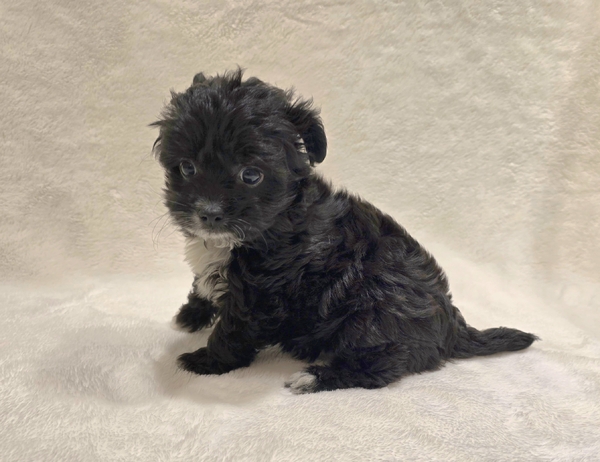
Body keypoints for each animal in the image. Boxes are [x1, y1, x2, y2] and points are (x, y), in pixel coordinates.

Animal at [151, 69, 537, 394]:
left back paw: (314, 376)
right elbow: (202, 284)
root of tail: (453, 328)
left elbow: (235, 328)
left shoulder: (261, 293)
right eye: (187, 168)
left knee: (380, 364)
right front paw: (191, 314)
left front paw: (206, 360)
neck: (272, 223)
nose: (209, 213)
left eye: (251, 175)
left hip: (376, 309)